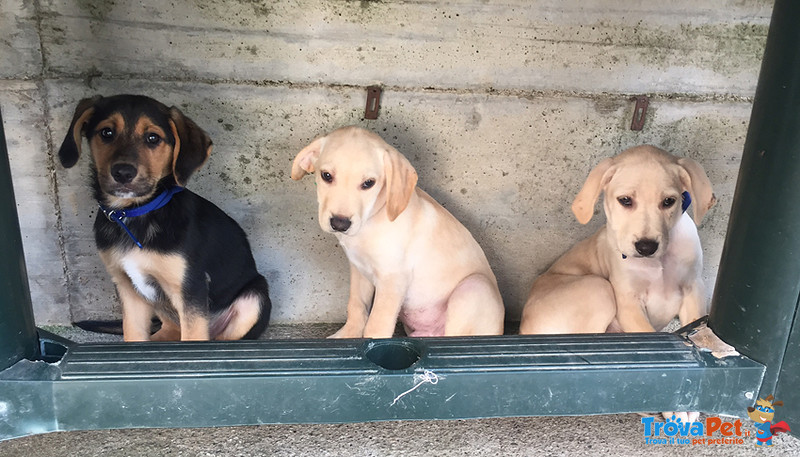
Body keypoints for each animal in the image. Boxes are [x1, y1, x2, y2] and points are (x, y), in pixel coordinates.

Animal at [59, 94, 270, 340]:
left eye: (153, 138)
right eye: (106, 133)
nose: (123, 173)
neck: (135, 214)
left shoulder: (191, 289)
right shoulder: (128, 289)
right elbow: (133, 335)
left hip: (254, 298)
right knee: (170, 328)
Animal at [290, 126, 504, 336]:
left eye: (369, 183)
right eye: (326, 175)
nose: (340, 223)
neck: (371, 220)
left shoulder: (392, 279)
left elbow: (376, 326)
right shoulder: (358, 269)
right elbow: (356, 307)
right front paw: (347, 336)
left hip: (473, 287)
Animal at [520, 146, 716, 334]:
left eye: (669, 201)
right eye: (625, 200)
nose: (646, 247)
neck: (658, 264)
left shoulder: (693, 289)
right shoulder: (628, 302)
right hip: (598, 288)